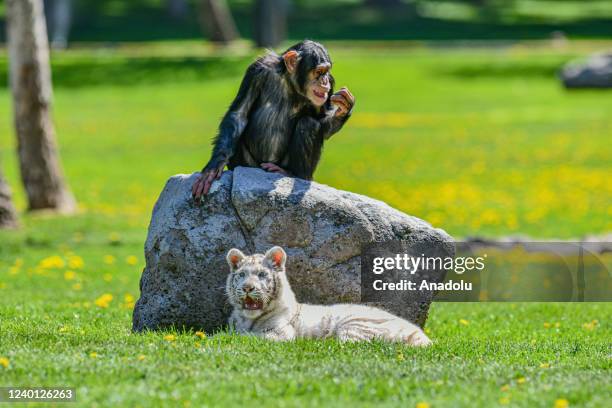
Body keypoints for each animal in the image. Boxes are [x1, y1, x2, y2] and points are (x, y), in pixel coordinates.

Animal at [191, 39, 354, 199]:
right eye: (319, 72)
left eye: (327, 72)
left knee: (308, 124)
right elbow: (238, 115)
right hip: (251, 166)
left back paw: (294, 174)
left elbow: (324, 126)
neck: (290, 83)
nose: (325, 81)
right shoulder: (257, 69)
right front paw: (212, 169)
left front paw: (344, 108)